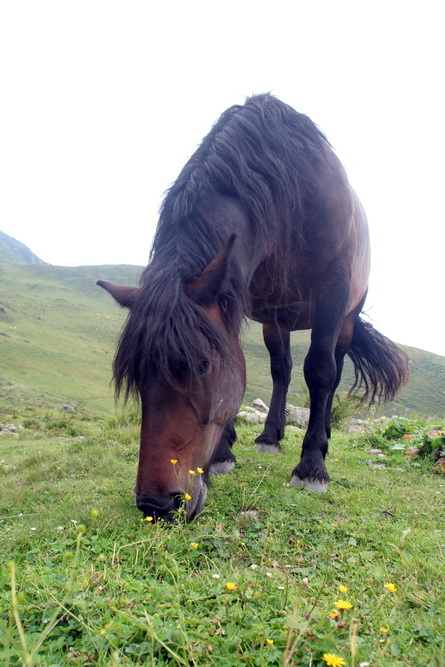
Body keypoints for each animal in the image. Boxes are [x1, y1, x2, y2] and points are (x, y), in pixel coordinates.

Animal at [98, 94, 410, 520]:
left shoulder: (332, 291)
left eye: (202, 365)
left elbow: (320, 372)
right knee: (282, 369)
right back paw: (270, 436)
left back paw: (321, 437)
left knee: (331, 370)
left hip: (345, 318)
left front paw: (312, 467)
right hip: (276, 320)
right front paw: (223, 453)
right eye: (136, 374)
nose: (156, 504)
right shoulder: (240, 299)